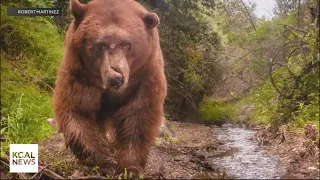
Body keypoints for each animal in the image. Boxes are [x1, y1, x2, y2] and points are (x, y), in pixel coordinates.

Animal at [52, 0, 166, 175]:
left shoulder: (145, 76)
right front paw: (99, 156)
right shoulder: (79, 74)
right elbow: (77, 109)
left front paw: (129, 166)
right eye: (100, 45)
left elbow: (138, 115)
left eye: (127, 45)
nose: (115, 78)